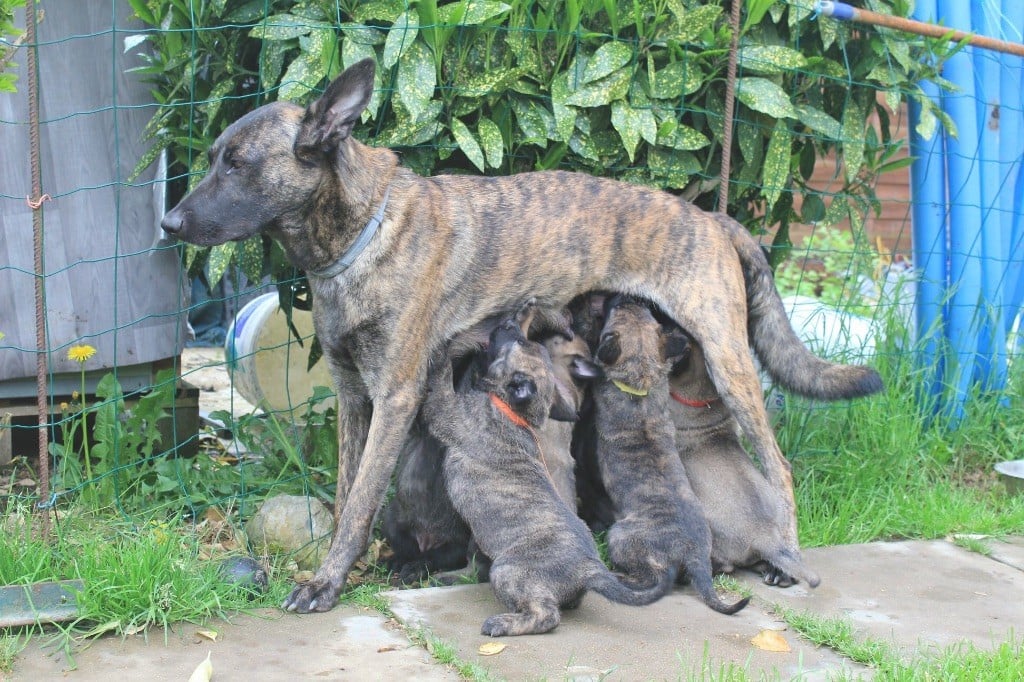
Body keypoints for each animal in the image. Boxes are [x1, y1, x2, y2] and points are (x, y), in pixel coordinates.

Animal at [419, 305, 667, 634]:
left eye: (518, 343)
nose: (509, 320)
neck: (513, 411)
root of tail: (588, 569)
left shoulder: (447, 412)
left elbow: (442, 379)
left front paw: (443, 349)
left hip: (507, 571)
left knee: (546, 615)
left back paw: (504, 623)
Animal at [589, 294, 749, 614]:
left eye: (614, 313)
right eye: (650, 316)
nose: (626, 296)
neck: (642, 380)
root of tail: (693, 556)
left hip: (620, 536)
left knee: (651, 576)